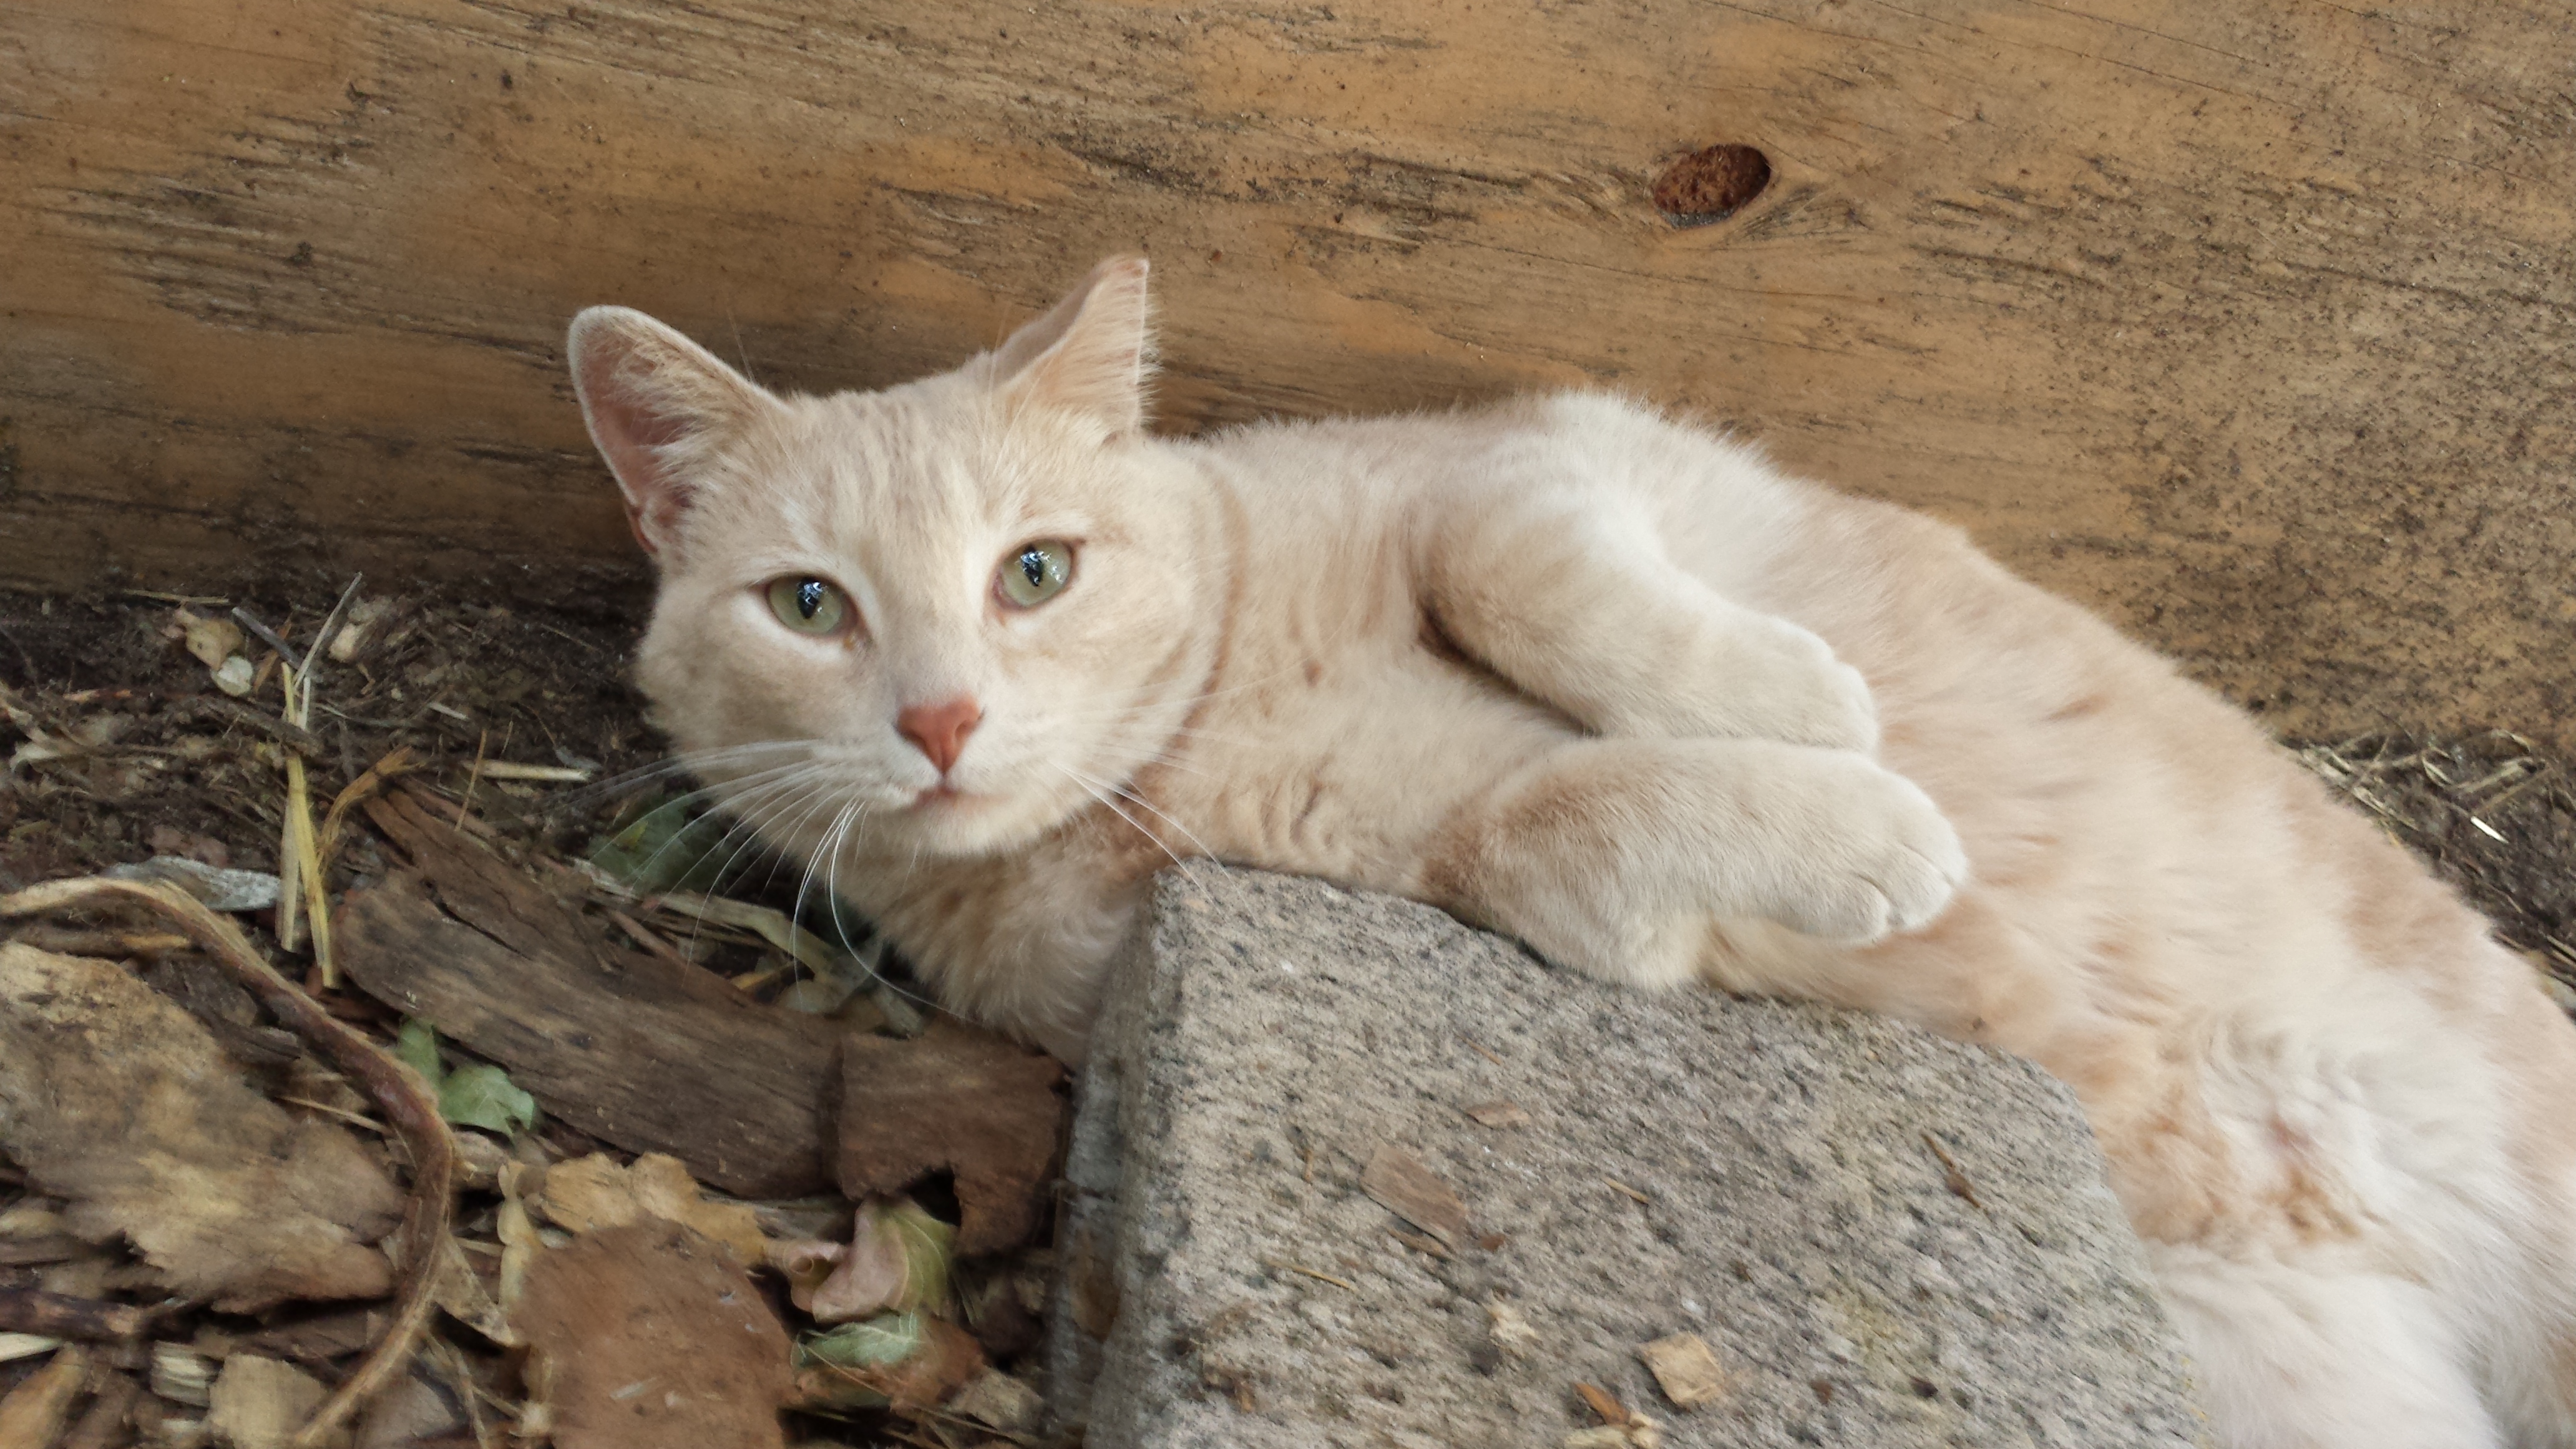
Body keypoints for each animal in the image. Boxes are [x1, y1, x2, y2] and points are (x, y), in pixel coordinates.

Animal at [568, 256, 2576, 1449]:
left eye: (1036, 571)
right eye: (809, 606)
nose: (941, 719)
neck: (1205, 725)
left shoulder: (1538, 453)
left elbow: (1516, 576)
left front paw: (1813, 709)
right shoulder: (1501, 884)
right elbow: (1552, 821)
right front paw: (1860, 824)